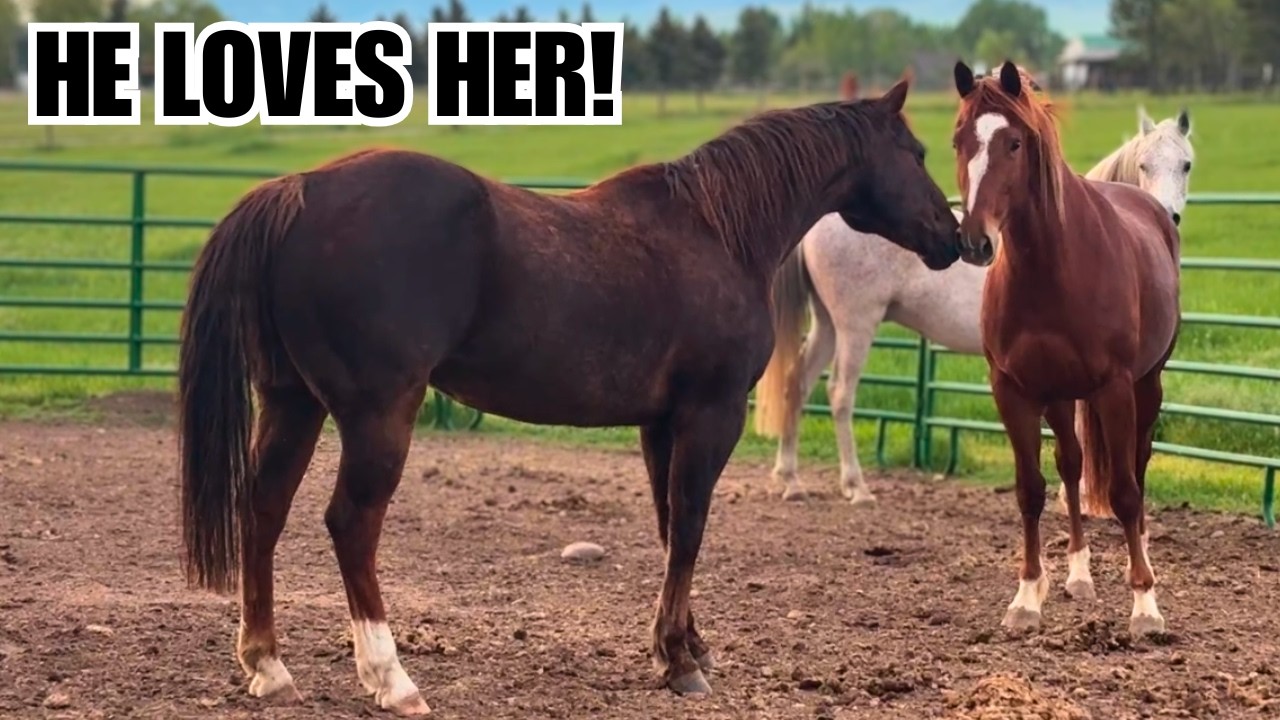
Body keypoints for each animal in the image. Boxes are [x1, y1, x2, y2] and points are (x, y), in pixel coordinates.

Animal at [176, 78, 963, 714]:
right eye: (919, 151)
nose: (957, 239)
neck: (717, 231)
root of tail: (300, 188)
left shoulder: (661, 425)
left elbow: (670, 529)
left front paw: (686, 645)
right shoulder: (710, 417)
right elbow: (691, 529)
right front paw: (679, 664)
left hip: (291, 403)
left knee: (263, 510)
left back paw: (268, 667)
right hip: (378, 417)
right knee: (351, 525)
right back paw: (391, 679)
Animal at [753, 105, 1194, 505]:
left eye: (1186, 164)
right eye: (1143, 164)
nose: (1168, 216)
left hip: (827, 323)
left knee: (798, 382)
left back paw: (790, 479)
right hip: (855, 324)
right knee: (841, 393)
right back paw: (856, 487)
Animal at [951, 60, 1181, 637]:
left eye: (1013, 143)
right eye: (959, 140)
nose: (974, 242)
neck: (1053, 267)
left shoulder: (1114, 388)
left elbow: (1124, 491)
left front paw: (1145, 604)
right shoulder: (1013, 391)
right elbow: (1031, 489)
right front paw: (1027, 595)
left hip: (1146, 385)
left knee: (1137, 465)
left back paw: (1140, 561)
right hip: (1059, 396)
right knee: (1072, 465)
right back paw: (1077, 574)